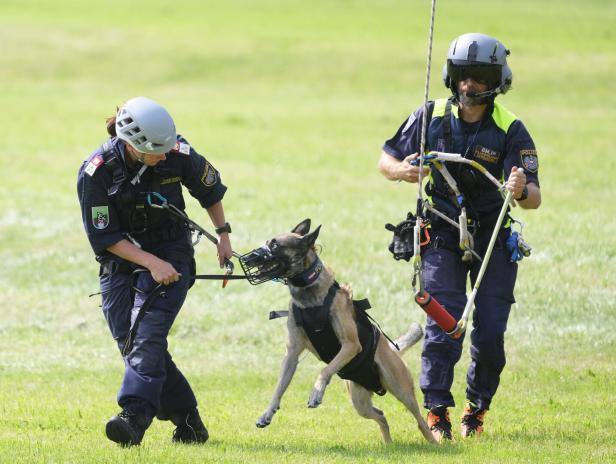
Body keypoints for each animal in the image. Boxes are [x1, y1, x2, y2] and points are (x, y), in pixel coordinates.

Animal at [253, 219, 436, 444]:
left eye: (275, 245)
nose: (252, 256)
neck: (310, 296)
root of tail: (392, 351)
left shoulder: (350, 345)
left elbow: (325, 370)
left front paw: (316, 393)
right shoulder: (291, 355)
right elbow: (279, 387)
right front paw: (267, 413)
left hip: (400, 388)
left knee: (419, 420)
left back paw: (435, 442)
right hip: (360, 402)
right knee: (381, 415)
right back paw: (388, 444)